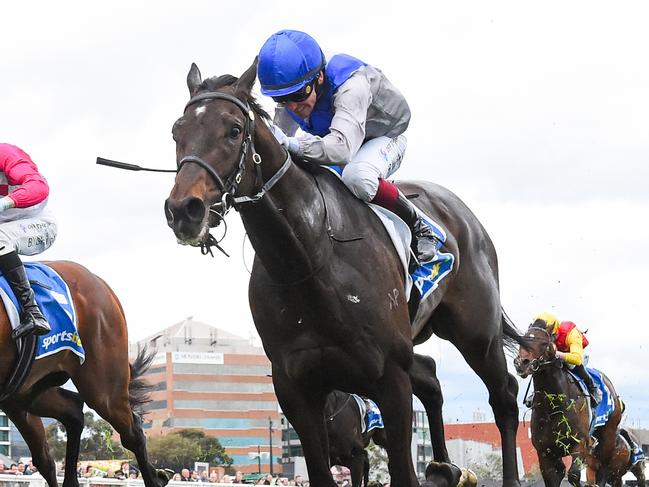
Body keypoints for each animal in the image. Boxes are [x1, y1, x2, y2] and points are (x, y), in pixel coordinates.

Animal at [0, 262, 167, 487]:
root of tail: (99, 282)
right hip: (21, 392)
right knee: (68, 420)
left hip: (103, 389)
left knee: (133, 435)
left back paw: (156, 478)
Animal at [166, 61, 520, 487]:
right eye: (177, 132)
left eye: (234, 129)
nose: (184, 210)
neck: (309, 259)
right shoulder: (296, 388)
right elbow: (322, 472)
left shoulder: (390, 378)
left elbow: (402, 471)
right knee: (432, 378)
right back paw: (441, 466)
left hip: (476, 334)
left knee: (504, 396)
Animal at [512, 324, 624, 487]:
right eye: (521, 340)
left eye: (543, 343)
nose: (522, 363)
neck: (553, 408)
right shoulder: (544, 452)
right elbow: (553, 478)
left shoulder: (580, 444)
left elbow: (574, 476)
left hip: (607, 438)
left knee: (603, 469)